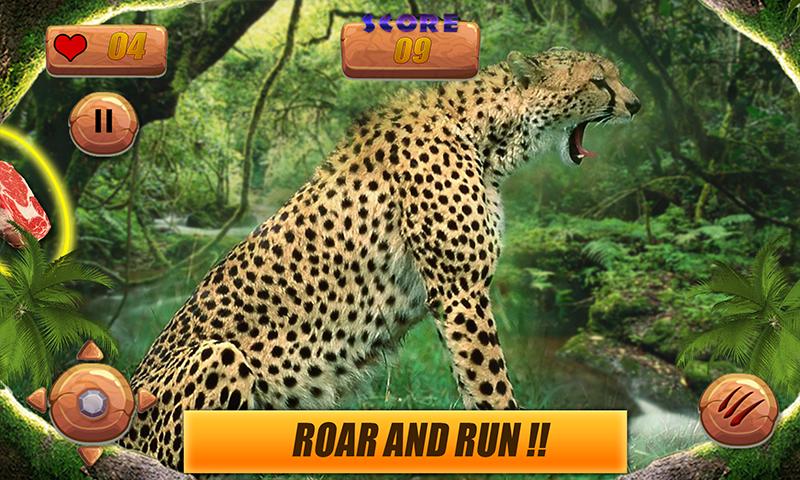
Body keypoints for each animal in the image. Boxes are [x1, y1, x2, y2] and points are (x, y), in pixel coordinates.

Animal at [120, 48, 640, 470]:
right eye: (599, 81)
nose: (635, 104)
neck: (487, 132)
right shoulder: (461, 291)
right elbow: (492, 389)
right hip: (218, 354)